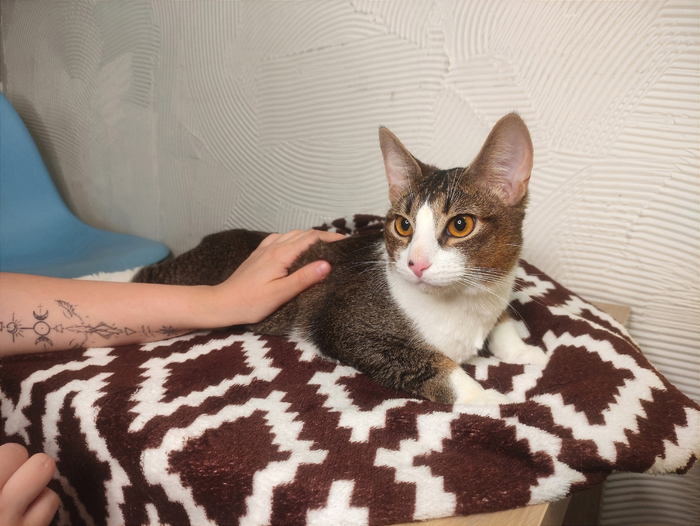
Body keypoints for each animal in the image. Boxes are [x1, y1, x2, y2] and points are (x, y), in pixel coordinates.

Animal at [134, 113, 546, 405]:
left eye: (461, 225)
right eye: (403, 225)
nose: (416, 264)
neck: (463, 302)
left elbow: (502, 321)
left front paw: (525, 351)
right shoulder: (347, 327)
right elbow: (433, 363)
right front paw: (485, 397)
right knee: (145, 275)